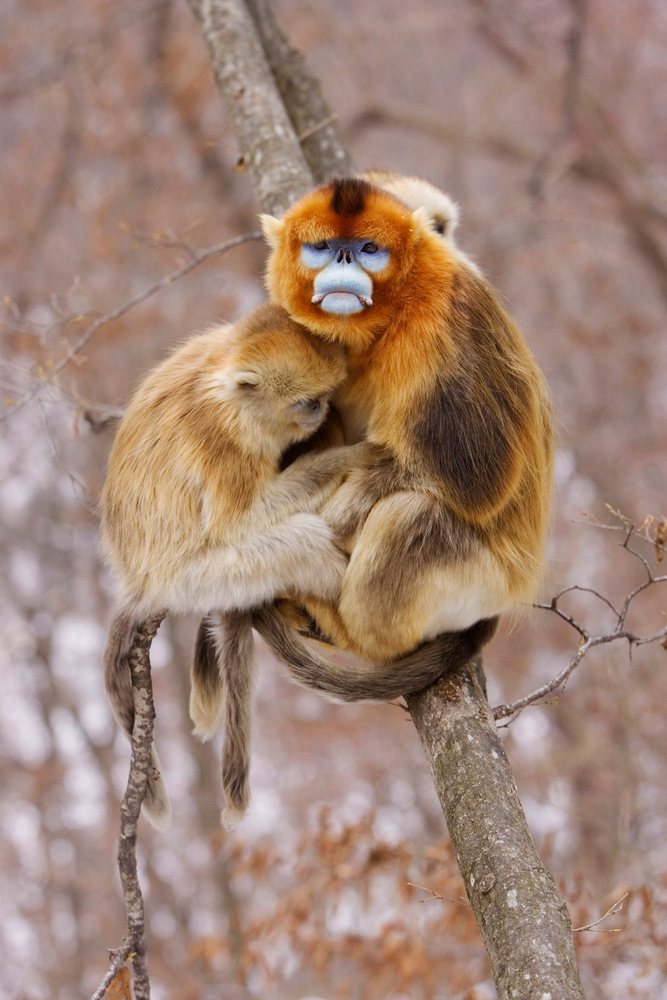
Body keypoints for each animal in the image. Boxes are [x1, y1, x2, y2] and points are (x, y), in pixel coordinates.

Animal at [100, 302, 370, 827]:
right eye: (306, 401)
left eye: (324, 396)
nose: (322, 410)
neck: (223, 384)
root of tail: (138, 583)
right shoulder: (225, 445)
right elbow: (237, 522)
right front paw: (343, 458)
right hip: (193, 579)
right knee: (300, 542)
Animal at [248, 176, 552, 695]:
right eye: (322, 247)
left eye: (369, 250)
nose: (343, 260)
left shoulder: (445, 323)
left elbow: (481, 480)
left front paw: (341, 512)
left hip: (486, 583)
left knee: (412, 515)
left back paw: (352, 634)